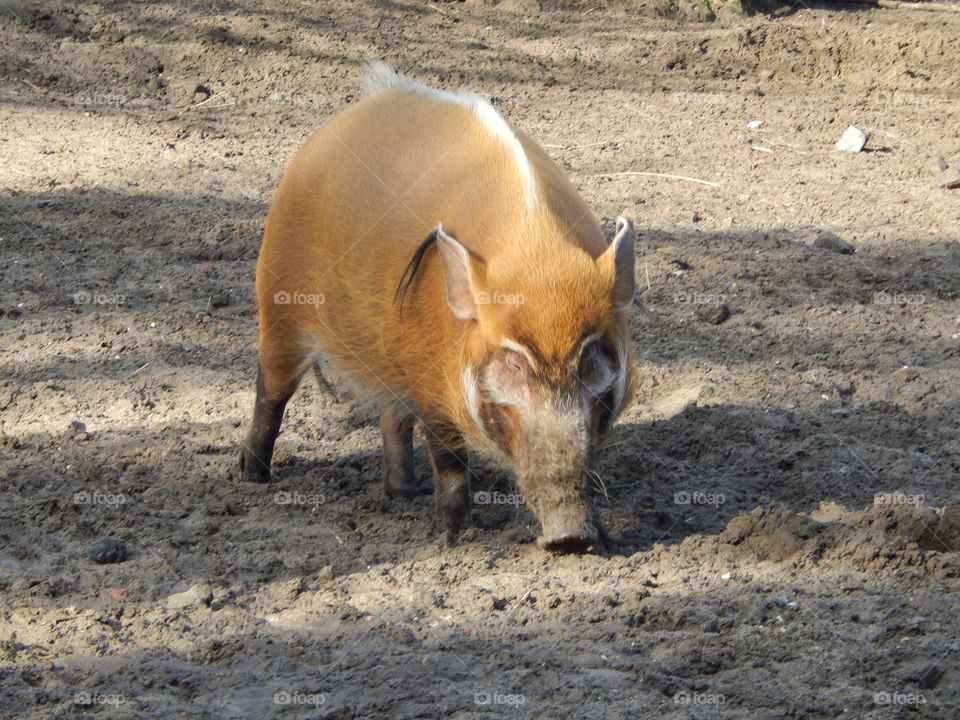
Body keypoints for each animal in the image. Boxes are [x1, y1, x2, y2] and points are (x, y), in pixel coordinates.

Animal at [240, 62, 635, 553]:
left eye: (589, 358)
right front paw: (456, 535)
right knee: (271, 389)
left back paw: (406, 492)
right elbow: (449, 460)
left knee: (391, 415)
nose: (571, 538)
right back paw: (253, 474)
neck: (535, 255)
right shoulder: (432, 384)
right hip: (278, 303)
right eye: (514, 362)